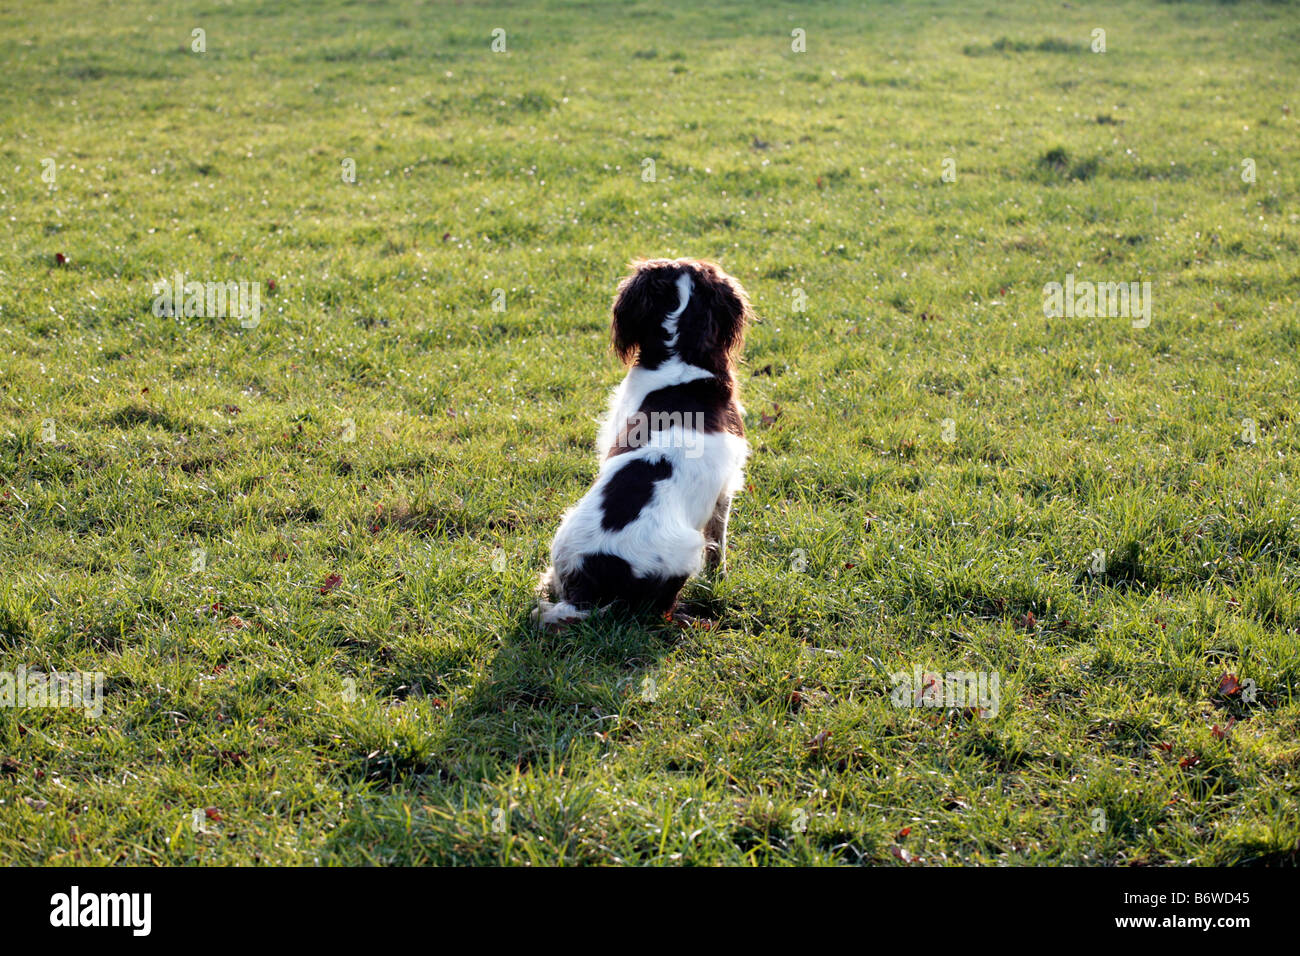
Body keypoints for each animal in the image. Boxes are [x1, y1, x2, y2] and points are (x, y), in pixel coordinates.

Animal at [535, 257, 759, 629]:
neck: (680, 355)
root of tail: (596, 576)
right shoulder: (726, 488)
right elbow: (718, 545)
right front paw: (720, 579)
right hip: (684, 550)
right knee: (660, 609)